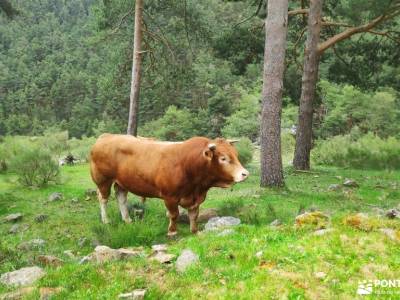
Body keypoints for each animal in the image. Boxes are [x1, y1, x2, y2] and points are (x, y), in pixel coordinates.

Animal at [89, 135, 248, 236]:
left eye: (236, 154)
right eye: (223, 158)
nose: (245, 173)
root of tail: (105, 136)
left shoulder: (195, 198)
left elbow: (194, 215)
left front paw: (194, 231)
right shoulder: (170, 196)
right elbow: (174, 214)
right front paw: (172, 231)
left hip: (122, 182)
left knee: (121, 197)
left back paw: (127, 220)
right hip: (103, 180)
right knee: (103, 199)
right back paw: (106, 220)